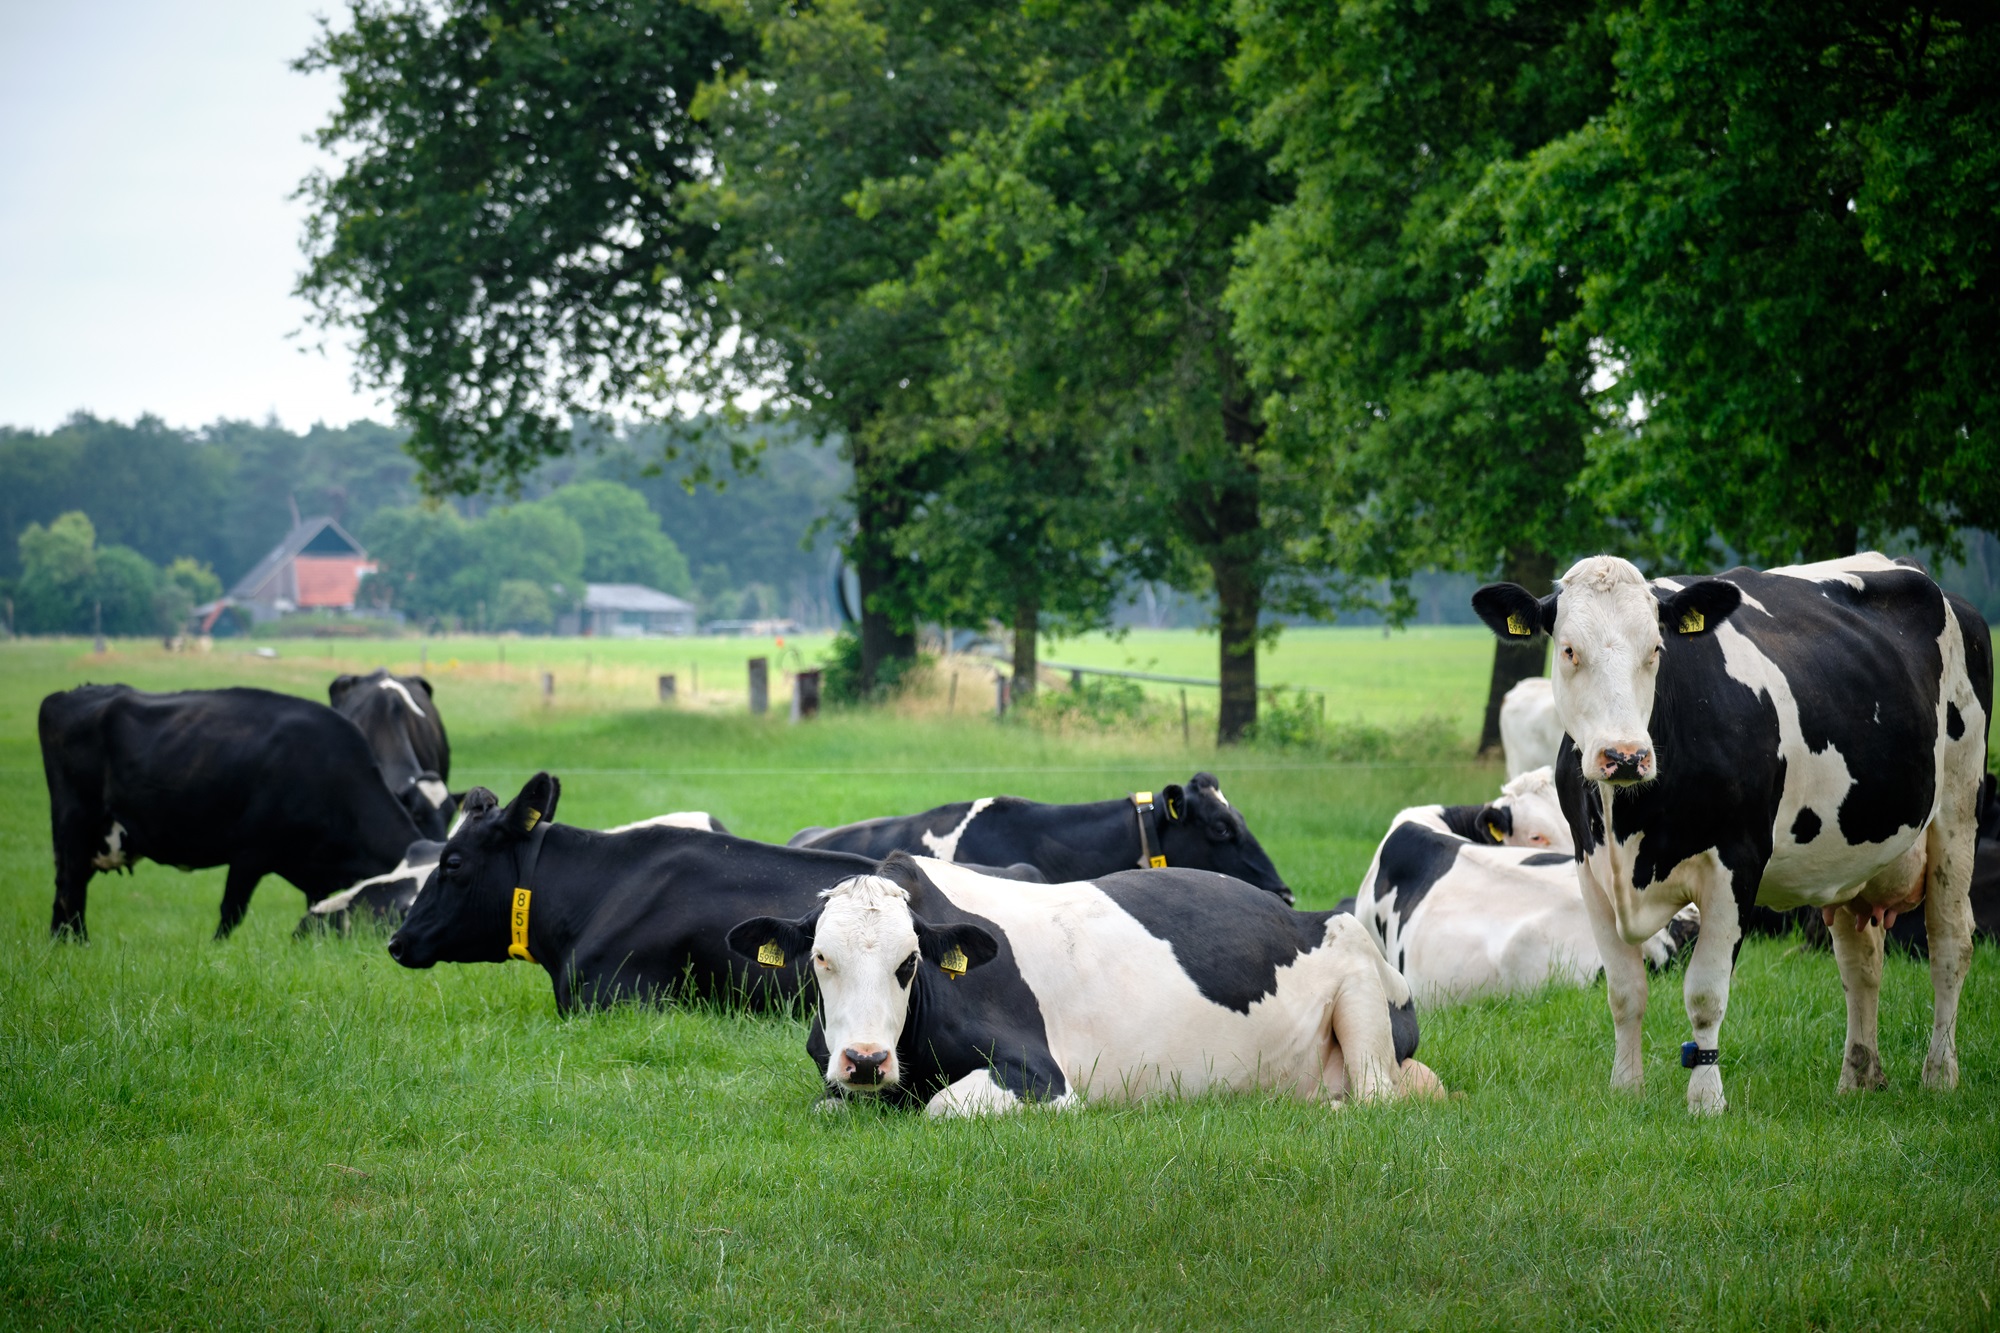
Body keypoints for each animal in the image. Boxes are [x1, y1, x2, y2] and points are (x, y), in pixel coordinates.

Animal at [38, 684, 425, 939]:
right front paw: (216, 948)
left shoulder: (314, 873)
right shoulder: (250, 854)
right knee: (71, 889)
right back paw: (77, 945)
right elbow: (230, 913)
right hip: (75, 822)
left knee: (66, 891)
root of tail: (69, 694)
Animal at [727, 851, 1440, 1116]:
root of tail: (1302, 912)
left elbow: (940, 1107)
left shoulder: (1045, 1079)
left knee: (1377, 1094)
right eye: (821, 958)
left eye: (908, 963)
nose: (867, 1059)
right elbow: (828, 1103)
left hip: (1356, 971)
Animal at [1473, 553, 1992, 1113]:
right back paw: (1857, 1077)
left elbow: (1705, 994)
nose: (1625, 756)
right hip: (1852, 856)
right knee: (1861, 964)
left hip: (1958, 810)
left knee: (1950, 944)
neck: (1627, 825)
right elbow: (1624, 991)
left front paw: (1705, 1099)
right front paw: (1627, 1089)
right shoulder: (1589, 871)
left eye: (1656, 649)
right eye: (1568, 649)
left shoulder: (1736, 865)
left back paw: (1939, 1073)